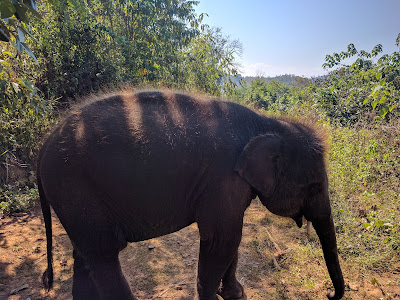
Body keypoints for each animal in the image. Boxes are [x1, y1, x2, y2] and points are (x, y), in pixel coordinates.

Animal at [36, 91, 344, 300]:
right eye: (315, 186)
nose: (329, 294)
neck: (267, 124)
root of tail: (44, 144)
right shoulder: (222, 179)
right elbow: (221, 240)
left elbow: (231, 238)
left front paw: (236, 294)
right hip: (74, 188)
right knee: (104, 253)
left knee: (84, 255)